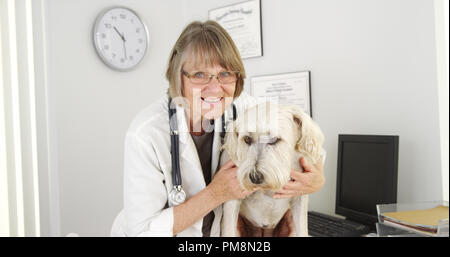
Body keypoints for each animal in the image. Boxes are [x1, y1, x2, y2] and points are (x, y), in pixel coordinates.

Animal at [221, 102, 324, 236]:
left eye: (274, 139)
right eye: (247, 139)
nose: (255, 177)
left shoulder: (300, 197)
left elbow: (302, 230)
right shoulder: (232, 200)